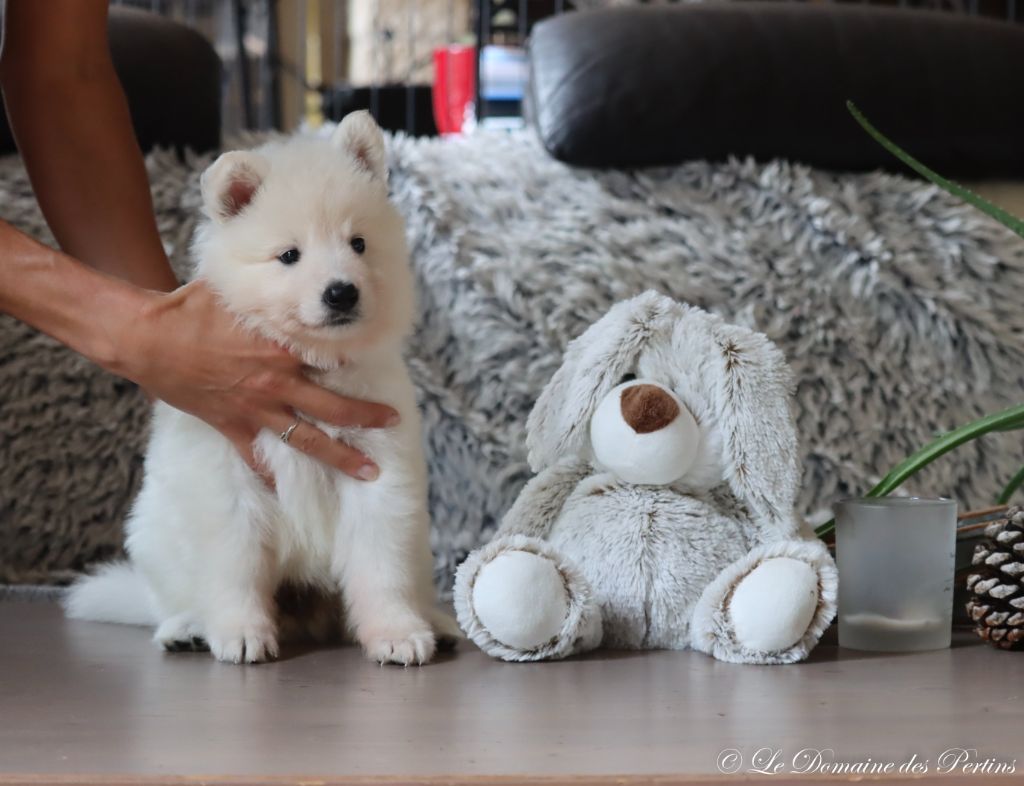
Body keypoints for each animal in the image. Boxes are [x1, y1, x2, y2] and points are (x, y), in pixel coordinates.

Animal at [64, 110, 456, 663]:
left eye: (358, 243)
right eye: (289, 255)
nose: (342, 292)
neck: (313, 364)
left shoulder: (379, 469)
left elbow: (382, 566)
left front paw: (397, 631)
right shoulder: (226, 479)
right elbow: (236, 566)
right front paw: (241, 632)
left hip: (418, 540)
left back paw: (435, 621)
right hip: (154, 535)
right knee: (168, 600)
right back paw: (187, 629)